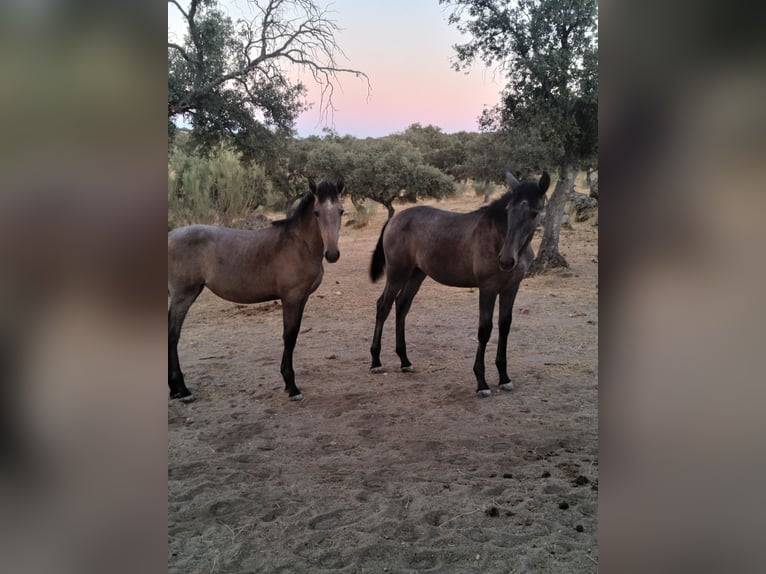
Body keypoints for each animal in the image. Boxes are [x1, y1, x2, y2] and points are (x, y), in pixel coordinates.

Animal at [168, 177, 345, 402]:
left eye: (341, 211)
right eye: (317, 212)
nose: (332, 254)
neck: (299, 244)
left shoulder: (302, 298)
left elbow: (292, 335)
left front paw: (287, 383)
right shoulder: (291, 298)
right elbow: (289, 336)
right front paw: (292, 387)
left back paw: (174, 389)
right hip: (183, 296)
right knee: (173, 336)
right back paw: (183, 390)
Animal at [369, 171, 550, 396]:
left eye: (534, 213)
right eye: (509, 210)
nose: (506, 260)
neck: (497, 237)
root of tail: (394, 219)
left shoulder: (511, 288)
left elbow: (504, 326)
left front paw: (504, 378)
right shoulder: (488, 288)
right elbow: (485, 330)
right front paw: (482, 383)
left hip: (417, 275)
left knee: (402, 306)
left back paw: (405, 361)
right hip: (397, 274)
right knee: (383, 306)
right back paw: (376, 362)